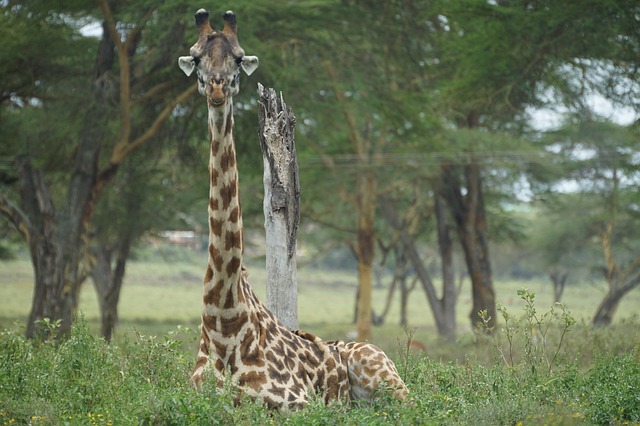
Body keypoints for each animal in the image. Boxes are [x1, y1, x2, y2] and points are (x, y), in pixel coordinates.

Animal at [176, 7, 404, 410]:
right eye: (197, 57)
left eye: (238, 58)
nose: (217, 89)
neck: (223, 321)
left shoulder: (296, 403)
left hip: (384, 375)